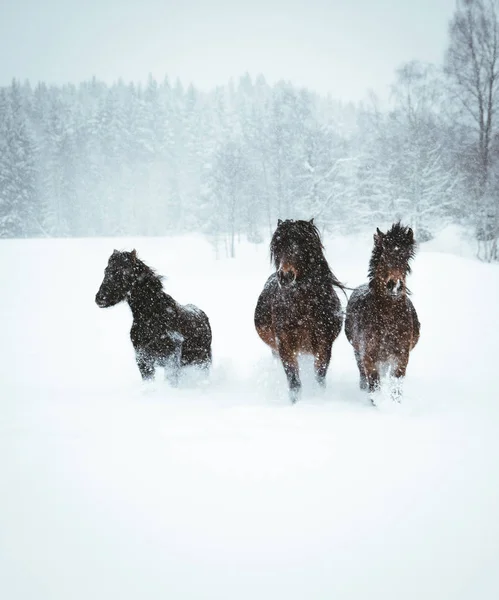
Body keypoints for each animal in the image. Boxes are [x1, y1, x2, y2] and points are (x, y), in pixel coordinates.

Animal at [94, 250, 212, 384]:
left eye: (123, 272)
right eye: (106, 270)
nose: (100, 298)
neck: (152, 316)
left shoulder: (171, 360)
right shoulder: (143, 360)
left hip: (202, 362)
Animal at [256, 219, 346, 404]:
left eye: (302, 244)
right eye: (278, 245)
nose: (285, 276)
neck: (303, 308)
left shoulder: (324, 344)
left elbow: (319, 375)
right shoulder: (284, 345)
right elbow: (294, 381)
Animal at [348, 221, 422, 404]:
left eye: (405, 257)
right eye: (383, 257)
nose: (395, 285)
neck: (389, 319)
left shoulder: (401, 356)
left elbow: (396, 385)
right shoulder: (368, 355)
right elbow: (374, 382)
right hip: (357, 351)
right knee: (363, 374)